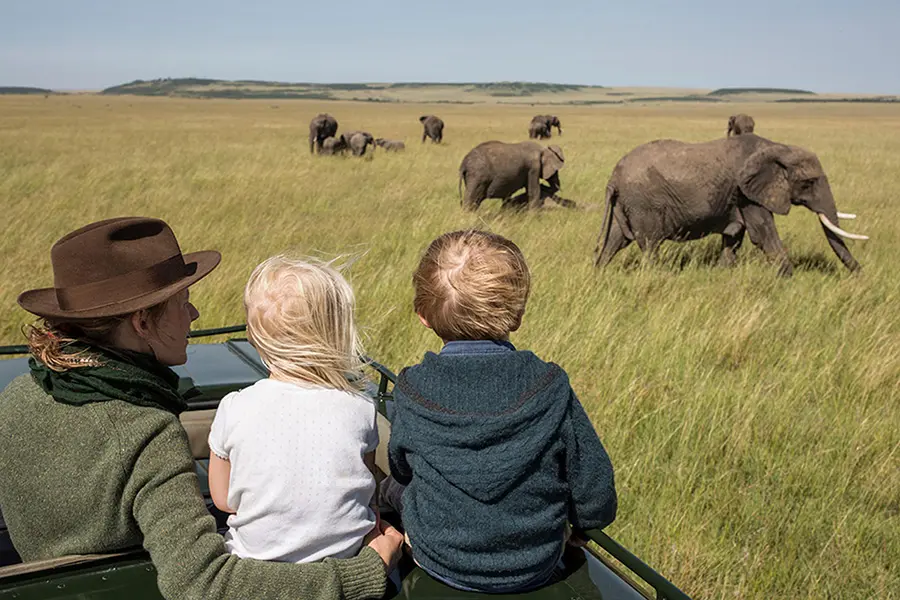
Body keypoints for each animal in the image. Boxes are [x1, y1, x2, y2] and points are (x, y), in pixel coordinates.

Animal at [596, 134, 868, 276]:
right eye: (808, 183)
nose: (860, 274)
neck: (778, 148)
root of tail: (613, 177)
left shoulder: (739, 197)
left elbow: (734, 237)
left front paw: (722, 273)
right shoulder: (747, 193)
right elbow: (763, 234)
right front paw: (788, 279)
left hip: (628, 203)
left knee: (615, 240)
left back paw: (599, 272)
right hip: (644, 204)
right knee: (650, 244)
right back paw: (659, 276)